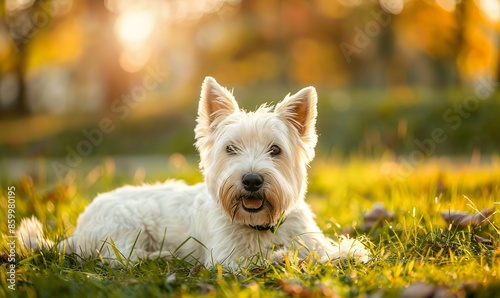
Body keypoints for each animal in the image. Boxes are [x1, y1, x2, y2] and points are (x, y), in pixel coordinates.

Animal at [19, 77, 370, 268]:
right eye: (230, 148)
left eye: (275, 150)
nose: (252, 180)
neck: (263, 225)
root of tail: (78, 230)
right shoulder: (225, 257)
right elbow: (259, 259)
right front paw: (281, 258)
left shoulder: (308, 238)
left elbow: (326, 251)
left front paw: (346, 254)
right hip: (125, 226)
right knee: (120, 257)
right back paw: (161, 256)